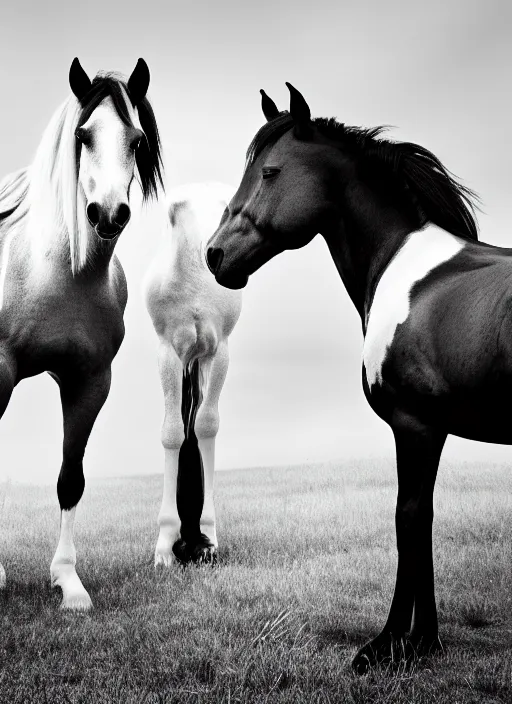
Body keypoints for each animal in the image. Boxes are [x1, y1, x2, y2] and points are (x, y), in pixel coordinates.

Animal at [143, 183, 241, 568]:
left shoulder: (219, 349)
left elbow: (206, 426)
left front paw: (206, 536)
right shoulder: (167, 351)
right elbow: (172, 433)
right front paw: (167, 543)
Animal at [205, 84, 508, 672]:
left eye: (270, 172)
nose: (214, 254)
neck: (401, 269)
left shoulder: (415, 427)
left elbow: (408, 520)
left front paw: (393, 643)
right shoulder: (429, 432)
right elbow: (423, 520)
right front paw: (421, 639)